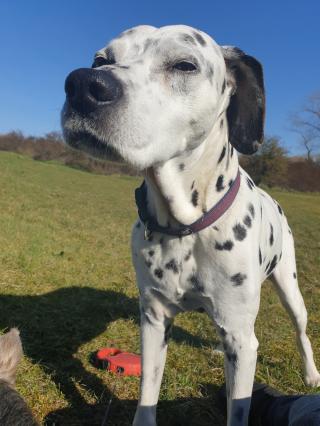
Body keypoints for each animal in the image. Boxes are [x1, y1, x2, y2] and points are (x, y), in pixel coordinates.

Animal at [61, 25, 318, 424]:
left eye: (184, 64)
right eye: (101, 60)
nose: (84, 84)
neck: (186, 227)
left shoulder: (242, 339)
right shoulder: (153, 321)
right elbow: (147, 394)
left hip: (289, 288)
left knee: (301, 331)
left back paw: (310, 374)